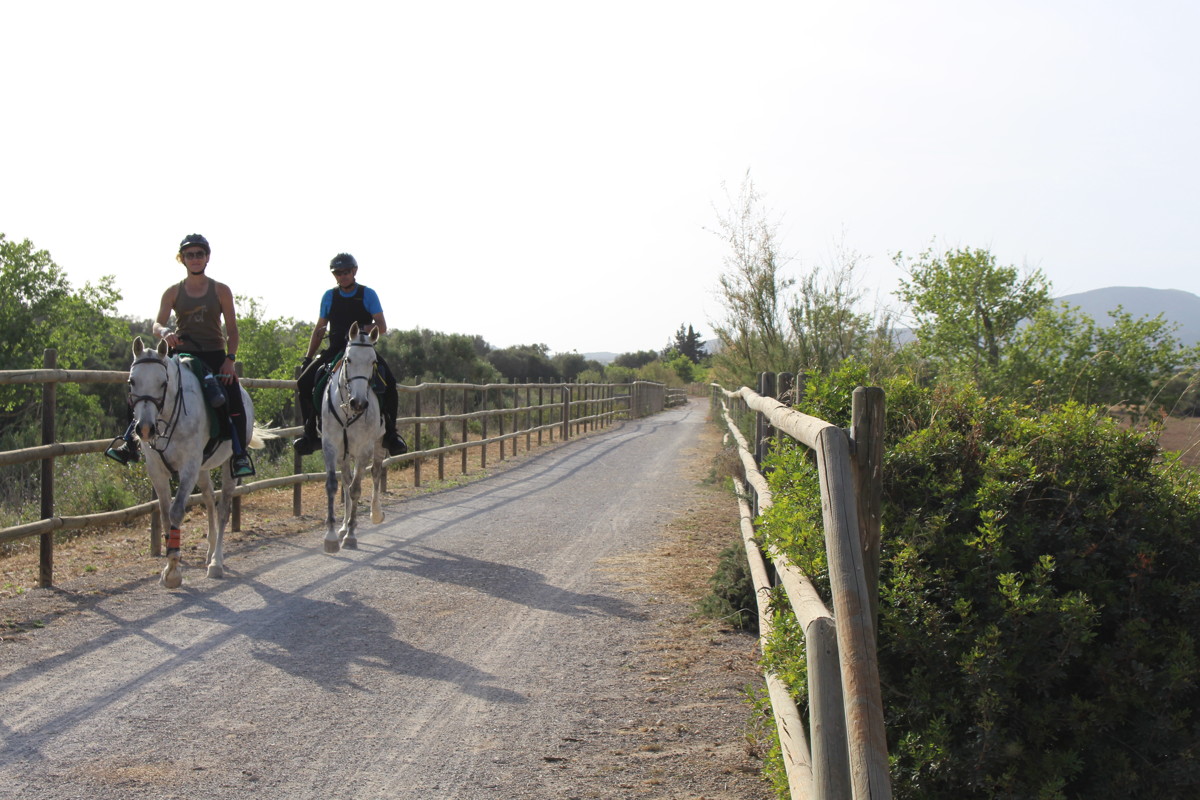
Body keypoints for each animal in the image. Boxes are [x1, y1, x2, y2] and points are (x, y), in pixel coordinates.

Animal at [127, 338, 271, 587]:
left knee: (223, 509)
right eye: (132, 381)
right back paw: (210, 550)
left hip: (227, 468)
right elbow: (165, 515)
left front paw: (173, 569)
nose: (145, 429)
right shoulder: (157, 471)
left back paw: (216, 562)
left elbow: (176, 512)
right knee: (209, 499)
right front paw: (169, 565)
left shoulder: (188, 469)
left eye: (163, 383)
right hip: (203, 470)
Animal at [321, 321, 381, 554]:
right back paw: (343, 527)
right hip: (344, 454)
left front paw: (352, 536)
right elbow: (334, 485)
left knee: (376, 472)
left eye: (373, 361)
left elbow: (356, 489)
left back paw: (376, 514)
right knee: (346, 481)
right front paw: (331, 535)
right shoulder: (330, 446)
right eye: (348, 359)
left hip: (378, 444)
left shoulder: (364, 449)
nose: (359, 403)